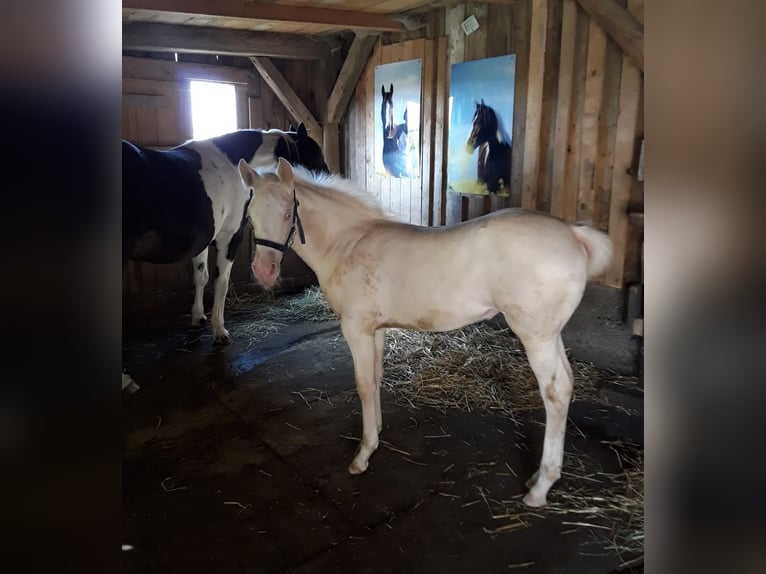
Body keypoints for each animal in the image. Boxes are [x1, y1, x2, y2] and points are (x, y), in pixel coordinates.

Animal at [122, 124, 328, 391]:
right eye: (314, 155)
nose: (329, 179)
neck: (232, 165)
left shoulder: (203, 240)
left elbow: (201, 277)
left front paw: (198, 317)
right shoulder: (230, 237)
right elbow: (221, 282)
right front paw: (219, 331)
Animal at [237, 157, 613, 507]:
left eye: (289, 213)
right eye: (250, 213)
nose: (264, 272)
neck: (348, 242)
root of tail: (573, 233)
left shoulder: (356, 329)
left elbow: (362, 384)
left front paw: (362, 455)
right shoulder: (375, 329)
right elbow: (376, 377)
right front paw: (376, 433)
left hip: (536, 337)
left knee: (555, 392)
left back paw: (540, 488)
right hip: (551, 334)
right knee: (567, 383)